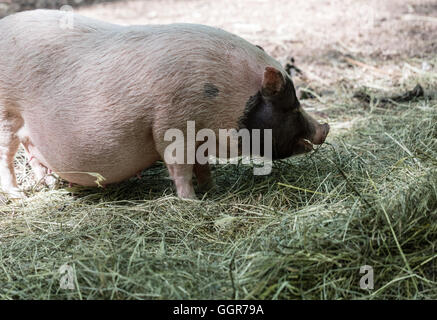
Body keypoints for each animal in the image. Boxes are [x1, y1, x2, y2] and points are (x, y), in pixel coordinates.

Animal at [0, 10, 328, 199]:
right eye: (291, 106)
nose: (324, 129)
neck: (227, 96)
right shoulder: (172, 125)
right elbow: (179, 165)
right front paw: (192, 202)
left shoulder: (198, 136)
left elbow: (202, 164)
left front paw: (212, 189)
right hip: (6, 113)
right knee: (7, 155)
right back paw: (18, 195)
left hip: (29, 128)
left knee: (32, 150)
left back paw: (50, 186)